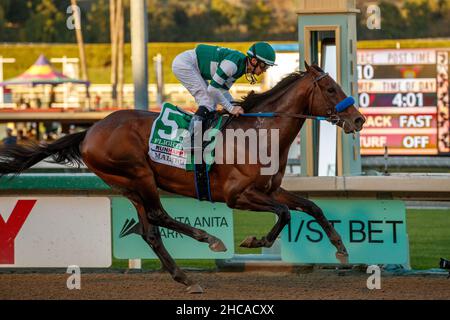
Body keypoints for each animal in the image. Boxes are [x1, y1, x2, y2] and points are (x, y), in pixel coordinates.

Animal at [0, 62, 364, 292]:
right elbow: (285, 213)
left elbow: (311, 206)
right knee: (159, 216)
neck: (261, 133)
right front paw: (253, 240)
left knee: (150, 230)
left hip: (127, 185)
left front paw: (341, 249)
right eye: (330, 88)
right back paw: (210, 240)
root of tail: (89, 130)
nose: (359, 119)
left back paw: (185, 277)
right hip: (138, 175)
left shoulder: (271, 189)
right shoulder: (238, 196)